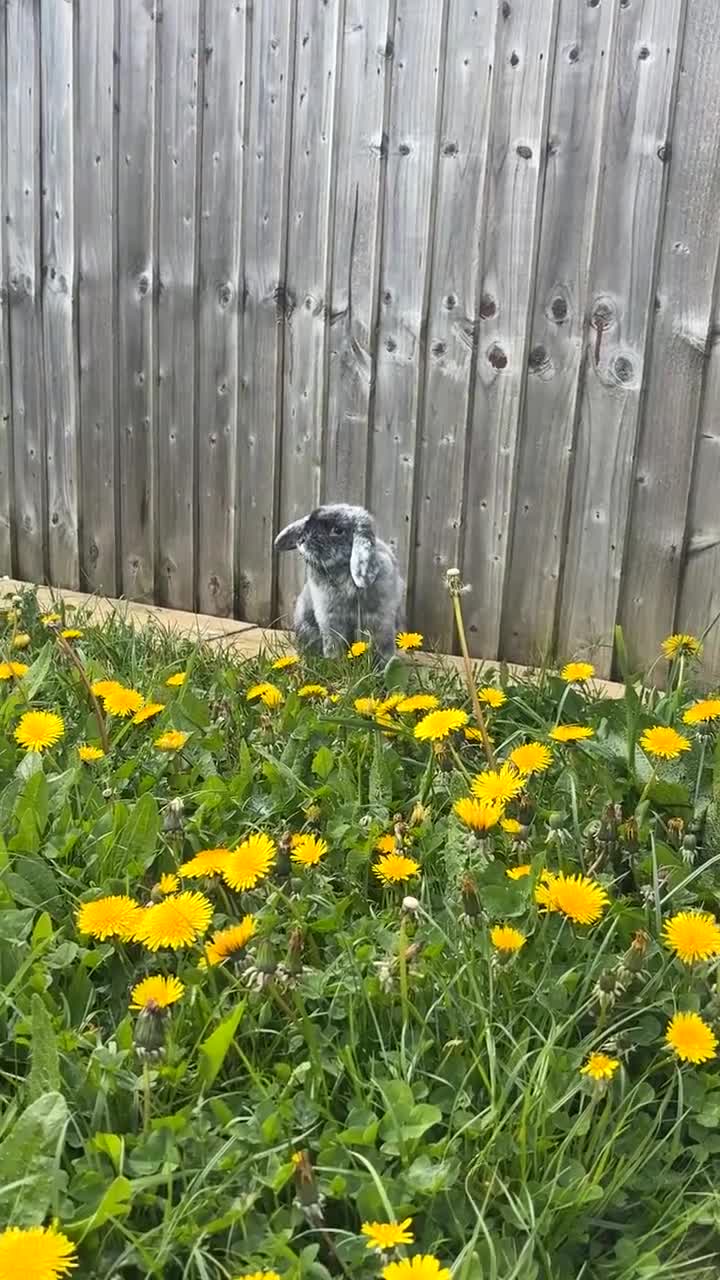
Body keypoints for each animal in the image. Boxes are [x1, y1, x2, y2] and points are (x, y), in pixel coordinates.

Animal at [274, 503, 405, 660]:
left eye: (337, 530)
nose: (302, 540)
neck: (343, 572)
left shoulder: (380, 621)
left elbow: (382, 648)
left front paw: (384, 665)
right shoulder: (330, 621)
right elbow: (333, 646)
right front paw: (333, 662)